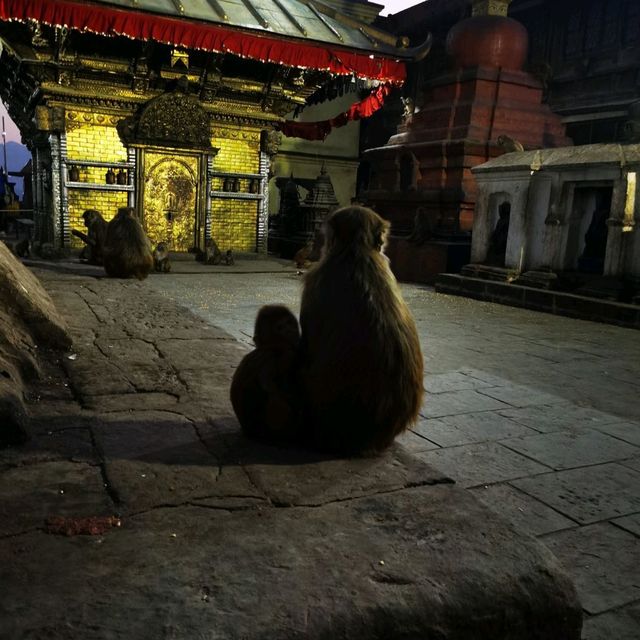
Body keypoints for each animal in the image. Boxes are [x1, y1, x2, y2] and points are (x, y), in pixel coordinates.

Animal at [230, 304, 302, 444]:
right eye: (280, 327)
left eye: (289, 322)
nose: (289, 330)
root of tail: (247, 432)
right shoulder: (280, 356)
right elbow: (271, 389)